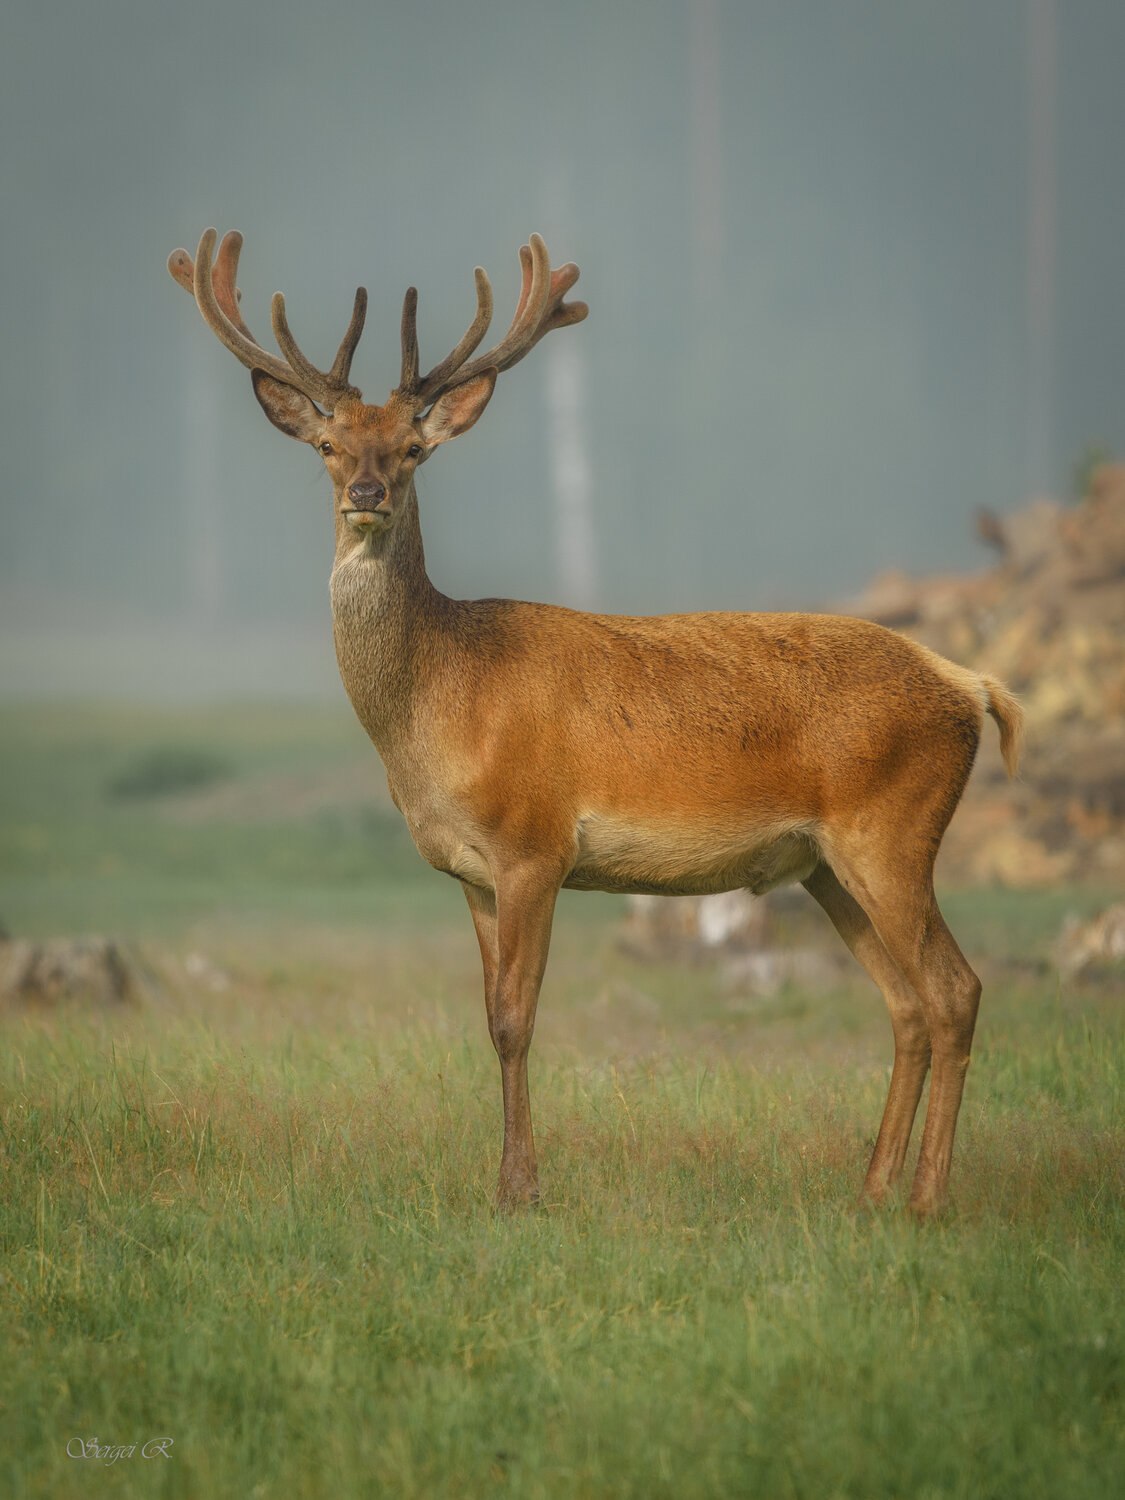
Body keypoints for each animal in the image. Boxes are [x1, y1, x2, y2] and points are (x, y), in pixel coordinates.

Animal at [168, 227, 1023, 1217]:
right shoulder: (469, 872)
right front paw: (511, 1181)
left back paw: (925, 1199)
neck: (436, 709)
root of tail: (971, 687)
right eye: (328, 445)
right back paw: (874, 1190)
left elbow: (514, 1019)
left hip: (890, 832)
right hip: (825, 864)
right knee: (906, 1002)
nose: (368, 494)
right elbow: (487, 1013)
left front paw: (517, 1190)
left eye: (414, 448)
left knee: (954, 989)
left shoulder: (534, 843)